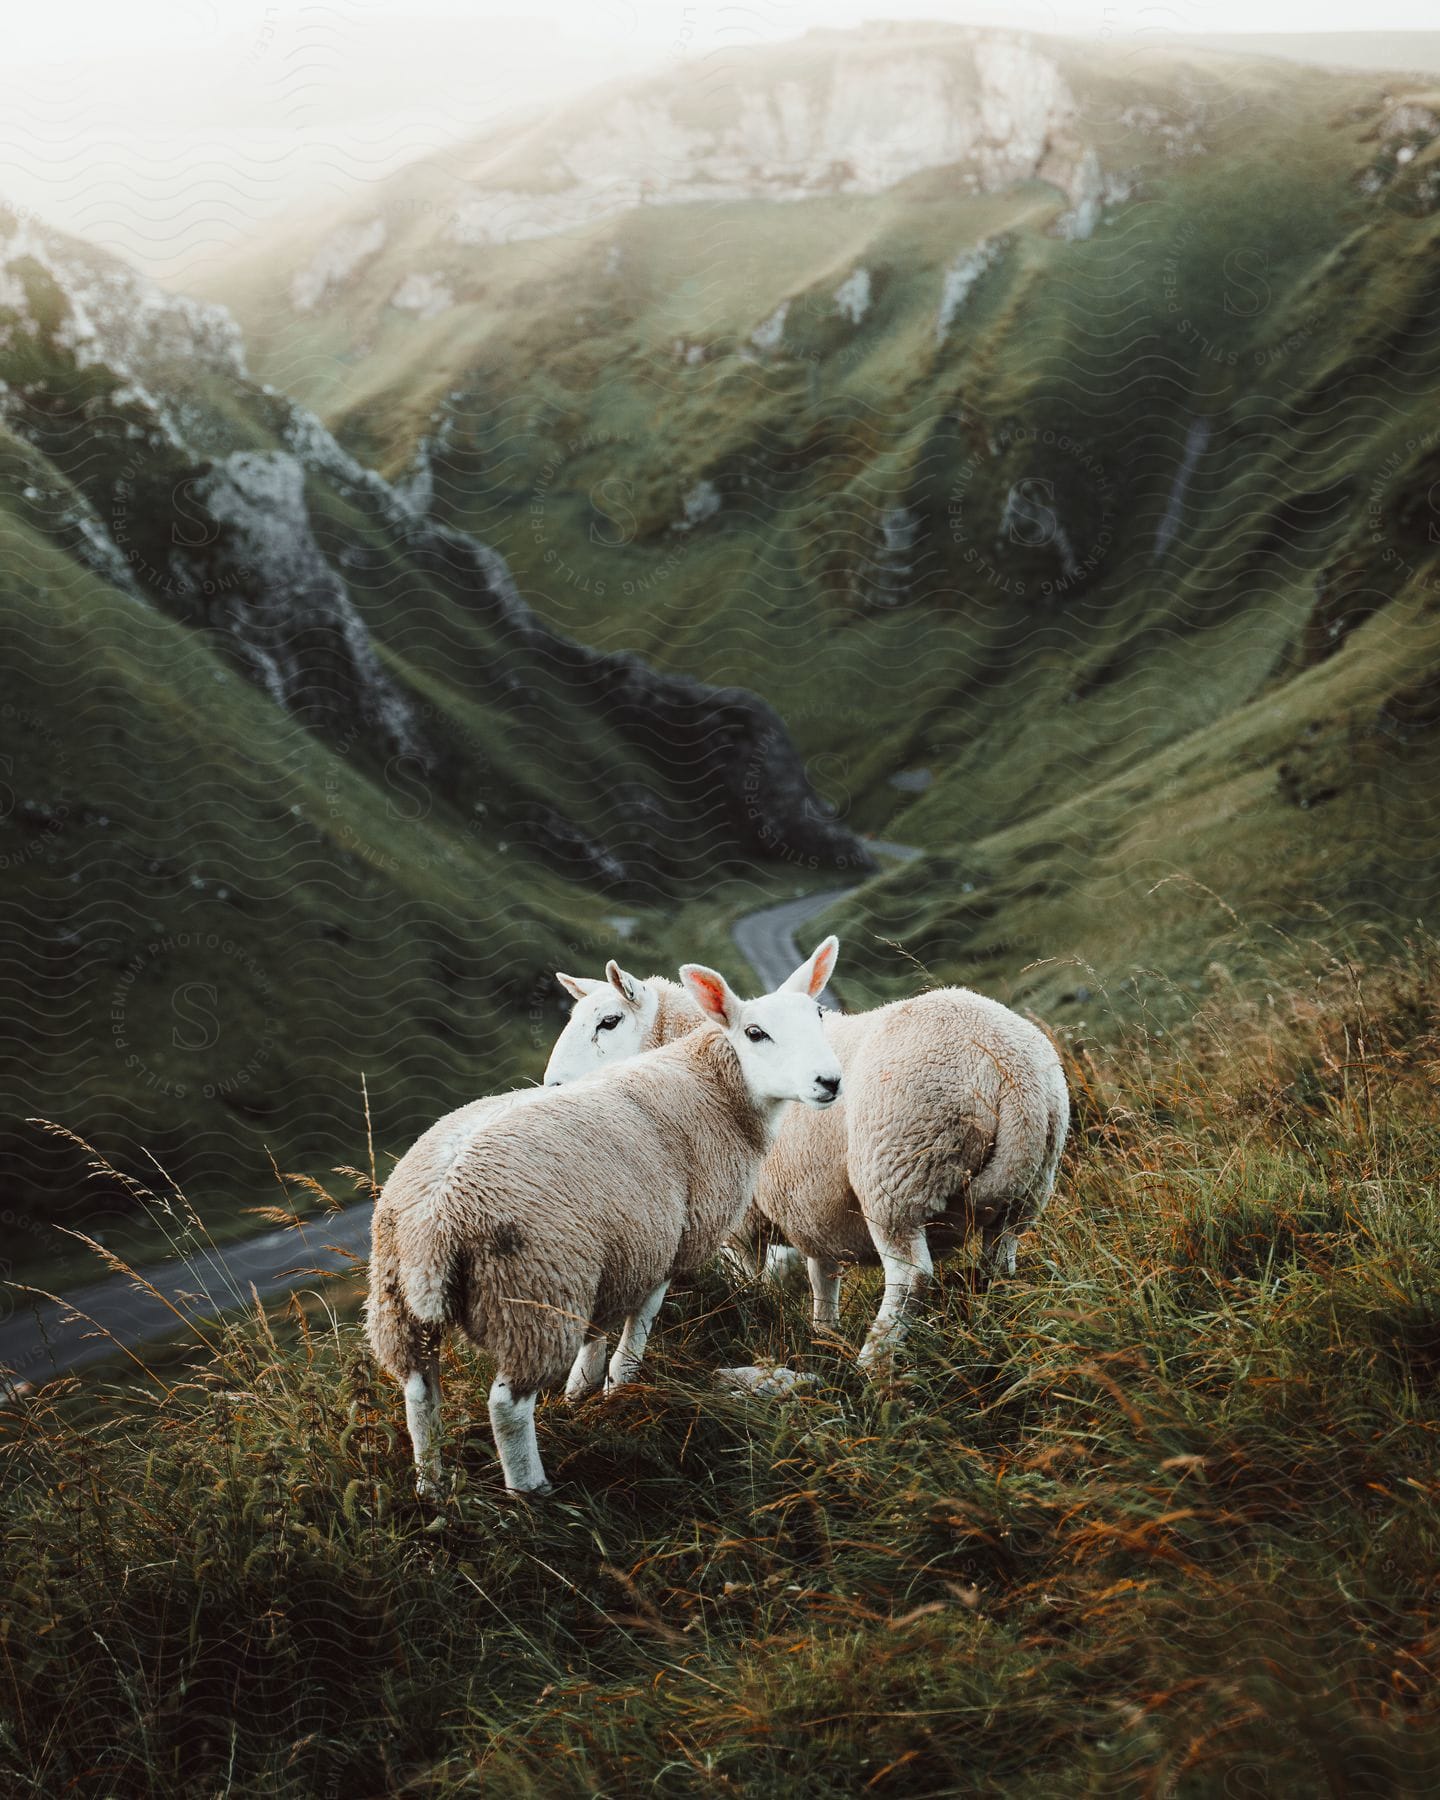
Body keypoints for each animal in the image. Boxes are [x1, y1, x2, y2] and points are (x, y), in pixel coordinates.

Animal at [365, 936, 842, 1497]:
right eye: (755, 1032)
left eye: (818, 1015)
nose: (830, 1081)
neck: (712, 1087)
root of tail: (435, 1223)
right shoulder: (666, 1241)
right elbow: (639, 1325)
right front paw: (618, 1385)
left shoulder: (615, 1248)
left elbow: (597, 1328)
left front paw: (582, 1387)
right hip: (533, 1297)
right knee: (506, 1406)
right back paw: (531, 1492)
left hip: (399, 1302)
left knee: (419, 1391)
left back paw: (432, 1488)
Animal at [547, 972, 1065, 1360]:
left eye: (609, 1021)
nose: (551, 1086)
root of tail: (1010, 1071)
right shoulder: (811, 1204)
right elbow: (822, 1275)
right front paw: (823, 1333)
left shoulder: (745, 1223)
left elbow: (751, 1283)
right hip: (1028, 1189)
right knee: (1001, 1258)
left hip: (897, 1176)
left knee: (911, 1276)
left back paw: (872, 1361)